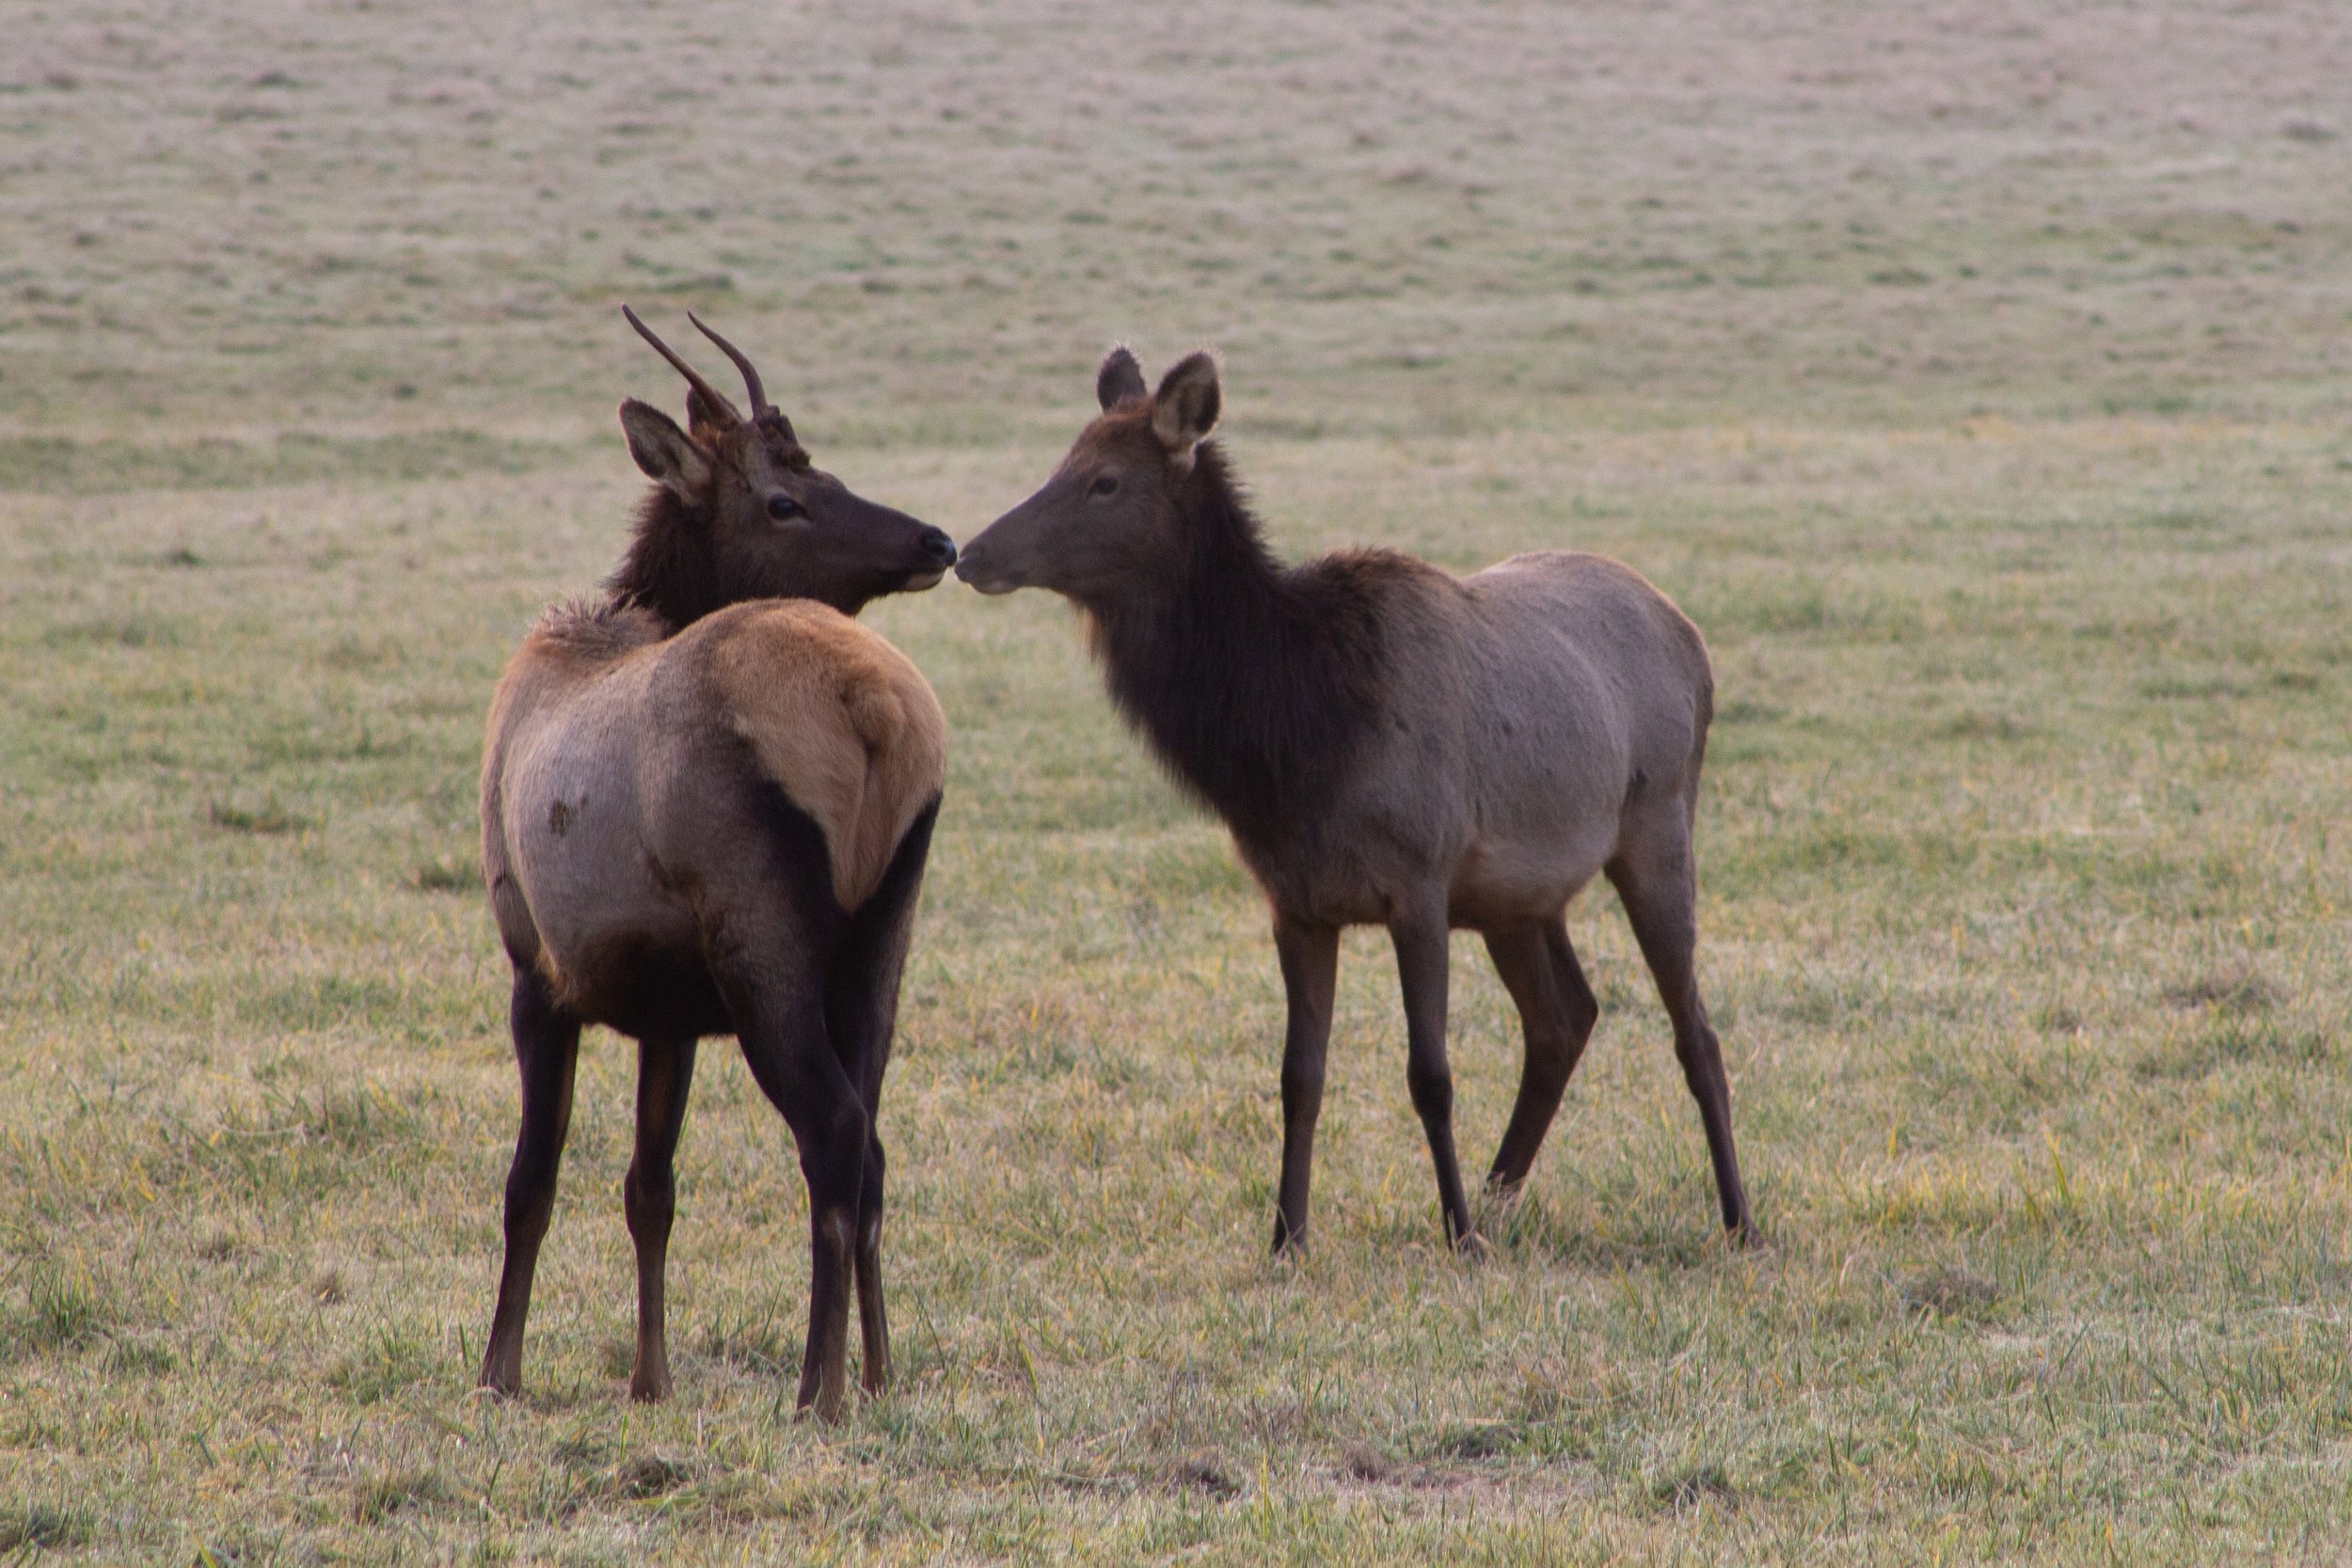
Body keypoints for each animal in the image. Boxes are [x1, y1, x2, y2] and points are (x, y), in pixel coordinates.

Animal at [473, 308, 956, 1419]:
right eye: (787, 495)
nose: (937, 539)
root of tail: (875, 715)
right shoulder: (671, 1010)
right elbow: (650, 1188)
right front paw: (650, 1376)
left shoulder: (536, 967)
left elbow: (531, 1180)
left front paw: (498, 1369)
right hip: (883, 937)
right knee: (873, 1145)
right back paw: (878, 1373)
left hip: (763, 940)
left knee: (833, 1131)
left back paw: (817, 1390)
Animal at [954, 347, 1754, 1258]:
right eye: (1064, 461)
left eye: (1105, 481)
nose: (970, 552)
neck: (1300, 739)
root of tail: (1693, 639)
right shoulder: (1294, 901)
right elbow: (1299, 1076)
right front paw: (1287, 1238)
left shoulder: (1421, 878)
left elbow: (1430, 1073)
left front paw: (1457, 1235)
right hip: (1518, 895)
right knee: (1565, 1017)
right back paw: (1501, 1194)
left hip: (1659, 823)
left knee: (1696, 1031)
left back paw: (1735, 1218)